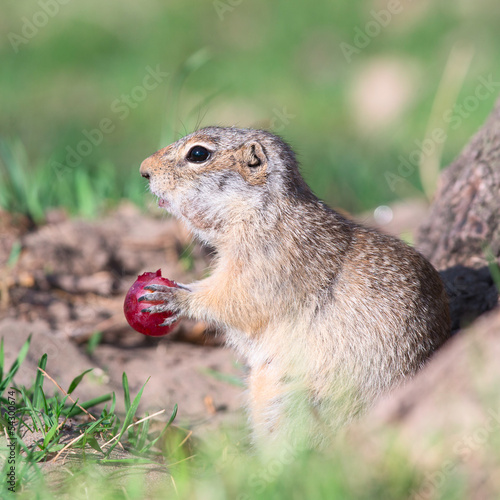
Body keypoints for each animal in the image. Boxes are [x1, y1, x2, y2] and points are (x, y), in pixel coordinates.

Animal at [139, 127, 452, 448]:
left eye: (198, 154)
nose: (143, 170)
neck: (262, 213)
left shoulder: (266, 267)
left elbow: (232, 300)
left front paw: (172, 295)